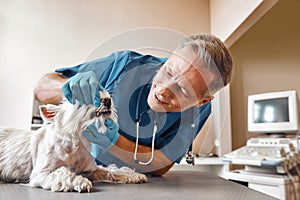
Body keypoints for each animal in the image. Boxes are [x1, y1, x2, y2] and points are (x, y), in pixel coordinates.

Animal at [0, 90, 148, 192]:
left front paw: (133, 175)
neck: (77, 143)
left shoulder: (91, 170)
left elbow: (111, 170)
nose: (107, 99)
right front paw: (80, 182)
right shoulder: (41, 173)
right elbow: (63, 173)